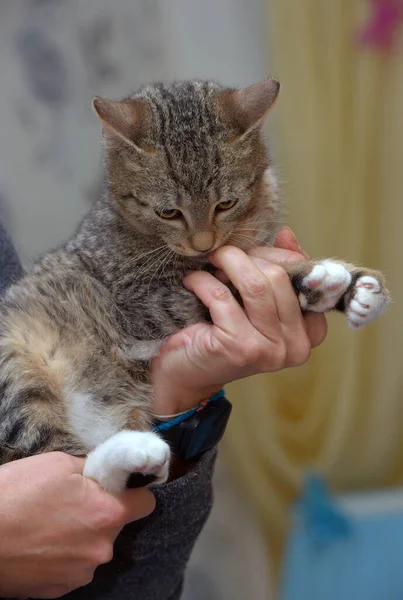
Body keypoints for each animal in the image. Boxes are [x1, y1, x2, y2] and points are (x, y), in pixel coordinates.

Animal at [0, 79, 392, 492]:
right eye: (168, 212)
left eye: (226, 203)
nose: (204, 244)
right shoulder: (137, 301)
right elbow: (225, 282)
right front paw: (321, 276)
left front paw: (356, 289)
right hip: (17, 369)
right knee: (60, 461)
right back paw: (131, 453)